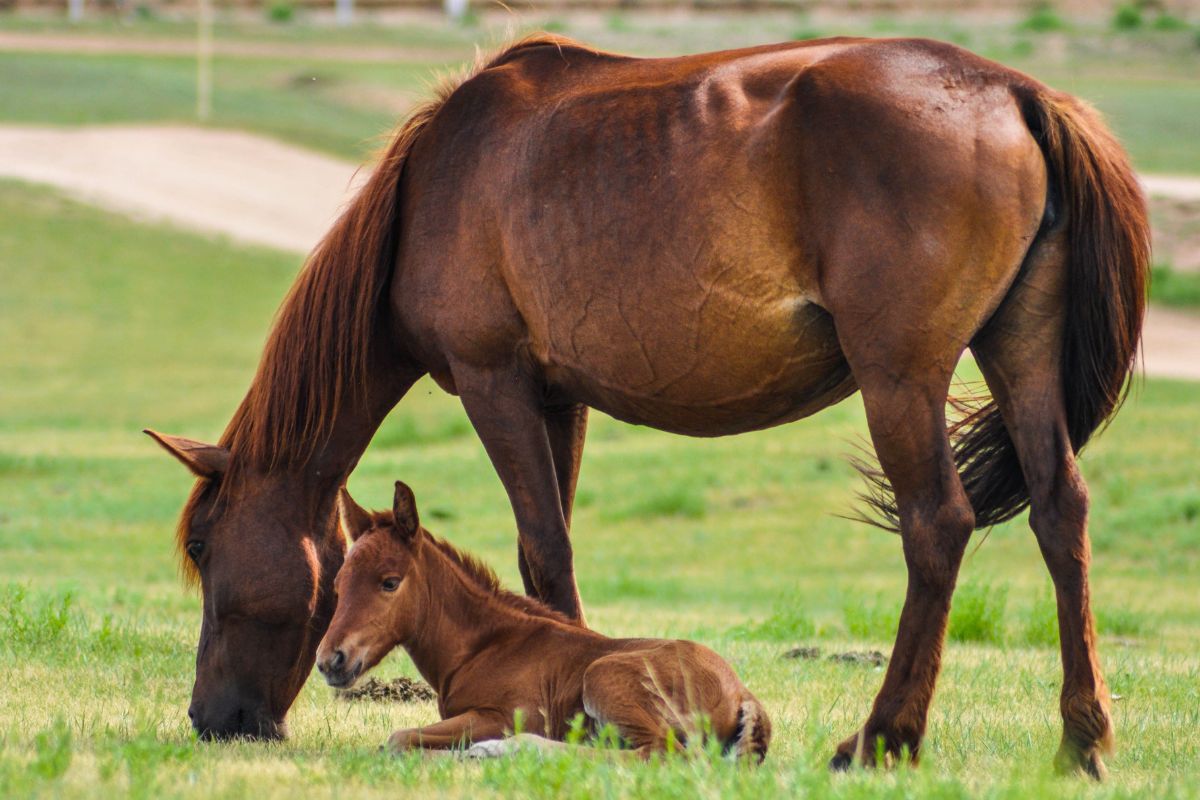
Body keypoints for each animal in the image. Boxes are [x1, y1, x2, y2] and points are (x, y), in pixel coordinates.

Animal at [315, 481, 772, 760]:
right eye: (338, 583)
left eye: (389, 582)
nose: (330, 660)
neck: (483, 647)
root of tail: (742, 694)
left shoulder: (501, 716)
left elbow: (398, 738)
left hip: (604, 677)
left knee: (656, 753)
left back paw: (508, 749)